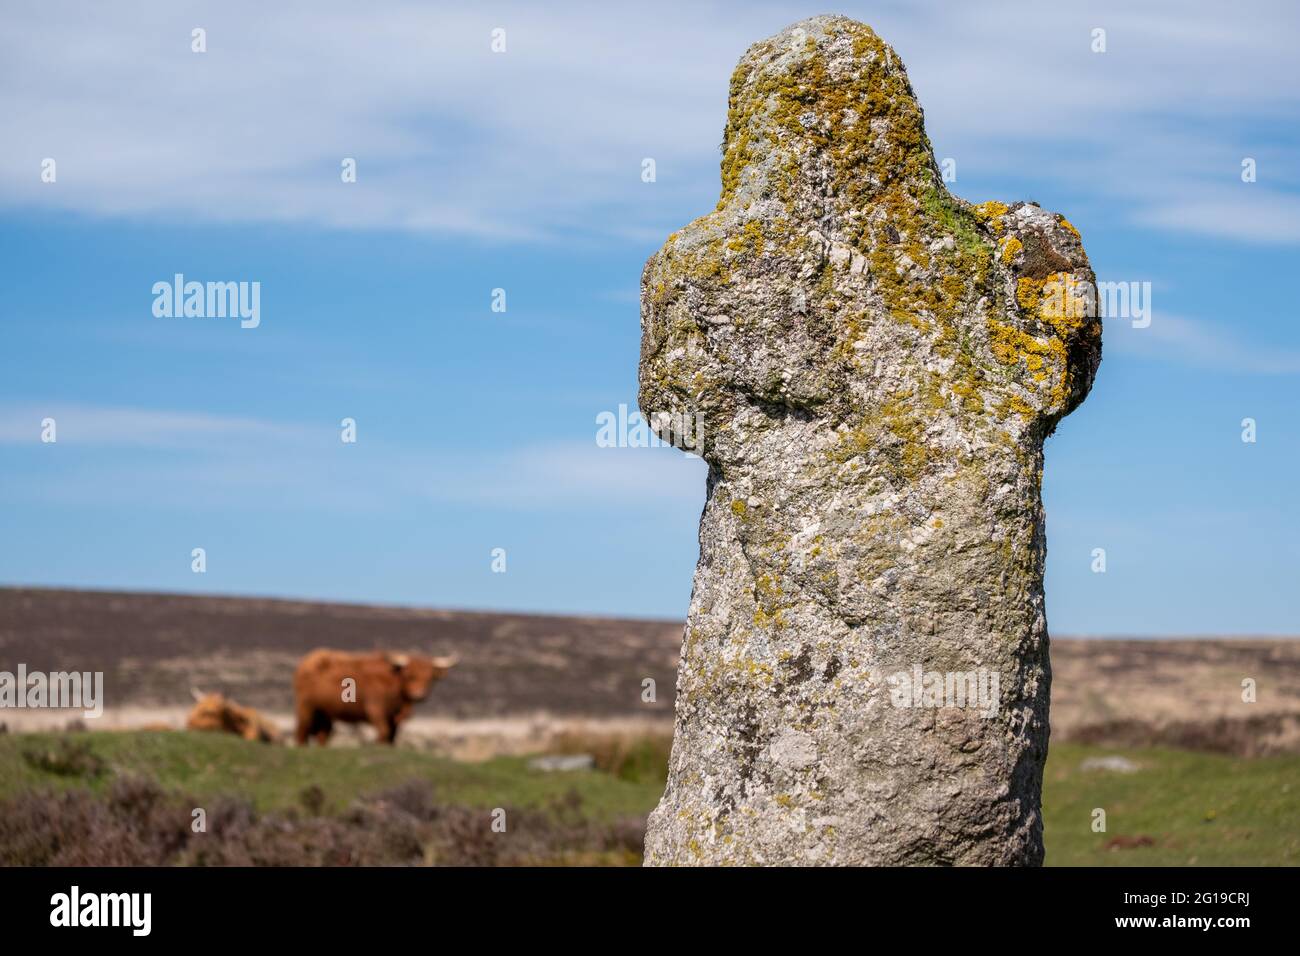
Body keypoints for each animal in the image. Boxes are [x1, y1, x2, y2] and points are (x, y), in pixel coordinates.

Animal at [295, 650, 457, 749]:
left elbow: (392, 735)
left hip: (324, 712)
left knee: (323, 733)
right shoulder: (376, 710)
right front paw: (379, 747)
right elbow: (384, 731)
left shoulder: (393, 717)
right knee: (302, 731)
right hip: (306, 707)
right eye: (410, 676)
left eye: (430, 678)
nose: (419, 695)